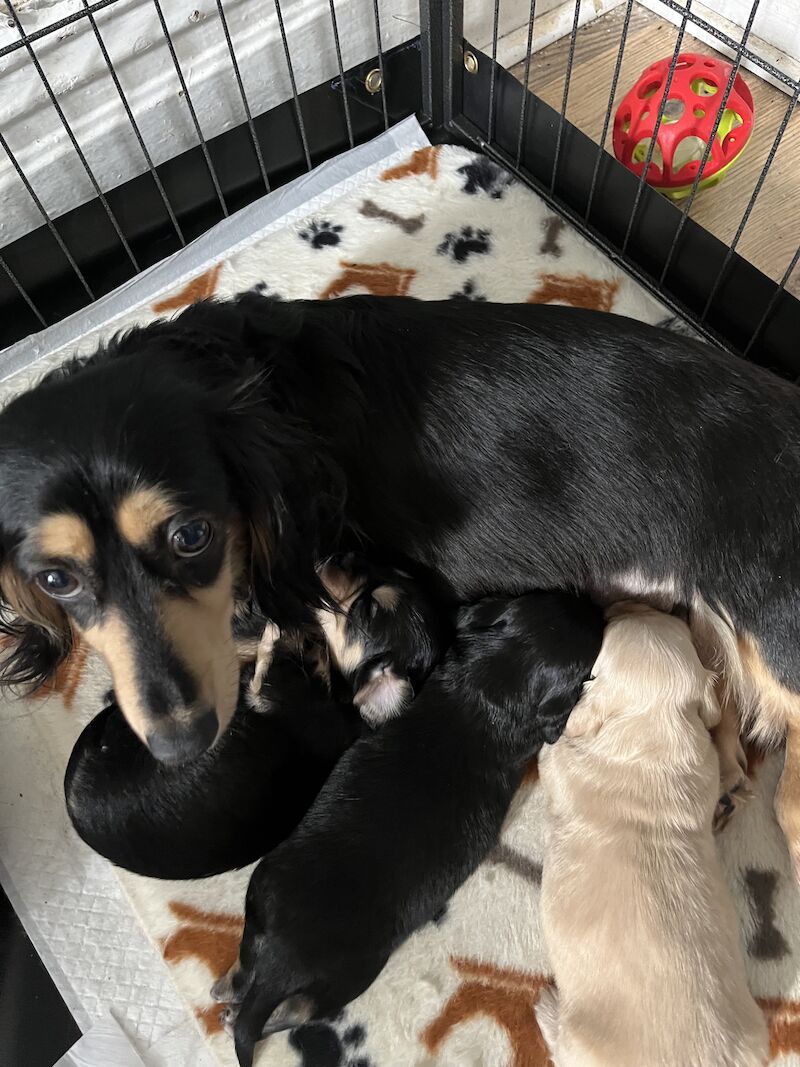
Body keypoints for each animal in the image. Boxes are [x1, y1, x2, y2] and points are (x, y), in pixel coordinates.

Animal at [219, 576, 601, 1067]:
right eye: (558, 599)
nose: (597, 605)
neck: (492, 686)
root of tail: (283, 961)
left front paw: (272, 639)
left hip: (300, 931)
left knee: (271, 993)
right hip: (307, 939)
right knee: (275, 992)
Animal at [539, 601, 772, 1067]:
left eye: (611, 627)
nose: (617, 601)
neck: (654, 725)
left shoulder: (562, 767)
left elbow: (550, 757)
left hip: (580, 1043)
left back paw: (546, 1011)